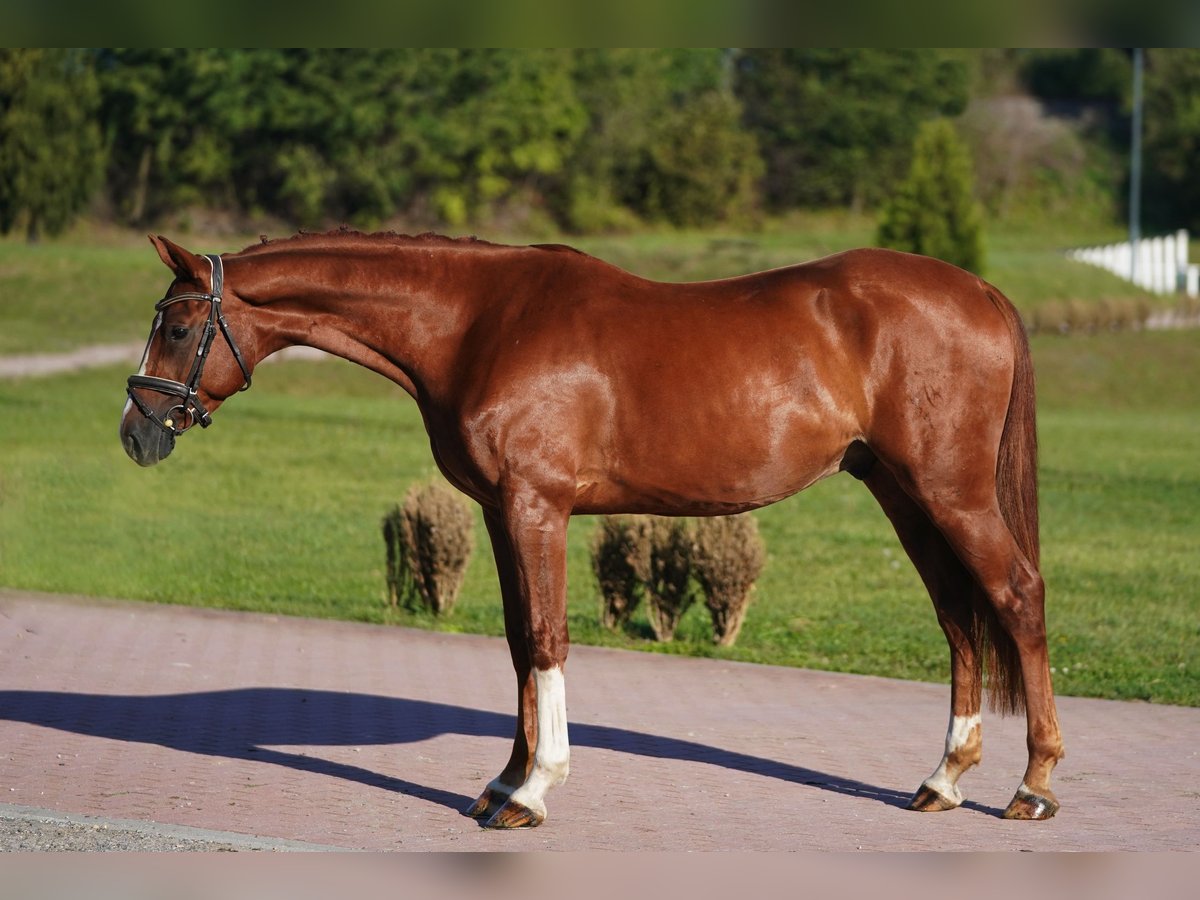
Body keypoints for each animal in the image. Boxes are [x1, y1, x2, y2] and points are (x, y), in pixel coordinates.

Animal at [119, 232, 1060, 830]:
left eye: (178, 325)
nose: (137, 433)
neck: (478, 323)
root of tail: (979, 292)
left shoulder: (537, 505)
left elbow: (546, 637)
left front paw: (534, 790)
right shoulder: (500, 510)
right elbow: (514, 643)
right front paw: (501, 783)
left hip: (951, 493)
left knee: (1015, 598)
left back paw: (1033, 786)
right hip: (903, 493)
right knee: (957, 615)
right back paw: (943, 780)